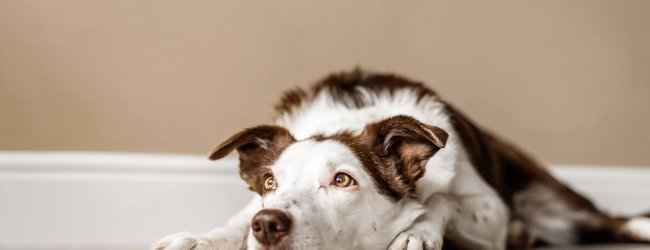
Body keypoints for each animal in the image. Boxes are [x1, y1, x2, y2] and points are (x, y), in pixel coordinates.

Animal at [152, 69, 648, 250]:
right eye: (271, 184)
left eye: (343, 181)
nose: (268, 225)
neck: (347, 121)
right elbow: (233, 223)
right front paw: (197, 239)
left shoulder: (489, 208)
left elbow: (440, 200)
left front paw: (417, 234)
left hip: (553, 205)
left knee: (611, 220)